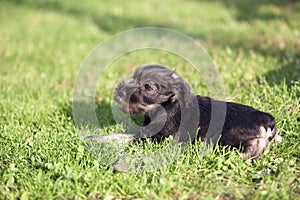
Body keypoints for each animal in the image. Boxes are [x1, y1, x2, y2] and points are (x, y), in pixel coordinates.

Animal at [89, 65, 282, 159]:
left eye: (148, 87)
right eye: (134, 78)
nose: (119, 92)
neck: (166, 106)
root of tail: (266, 118)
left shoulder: (159, 138)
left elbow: (126, 137)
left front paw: (98, 140)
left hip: (227, 135)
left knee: (256, 145)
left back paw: (241, 156)